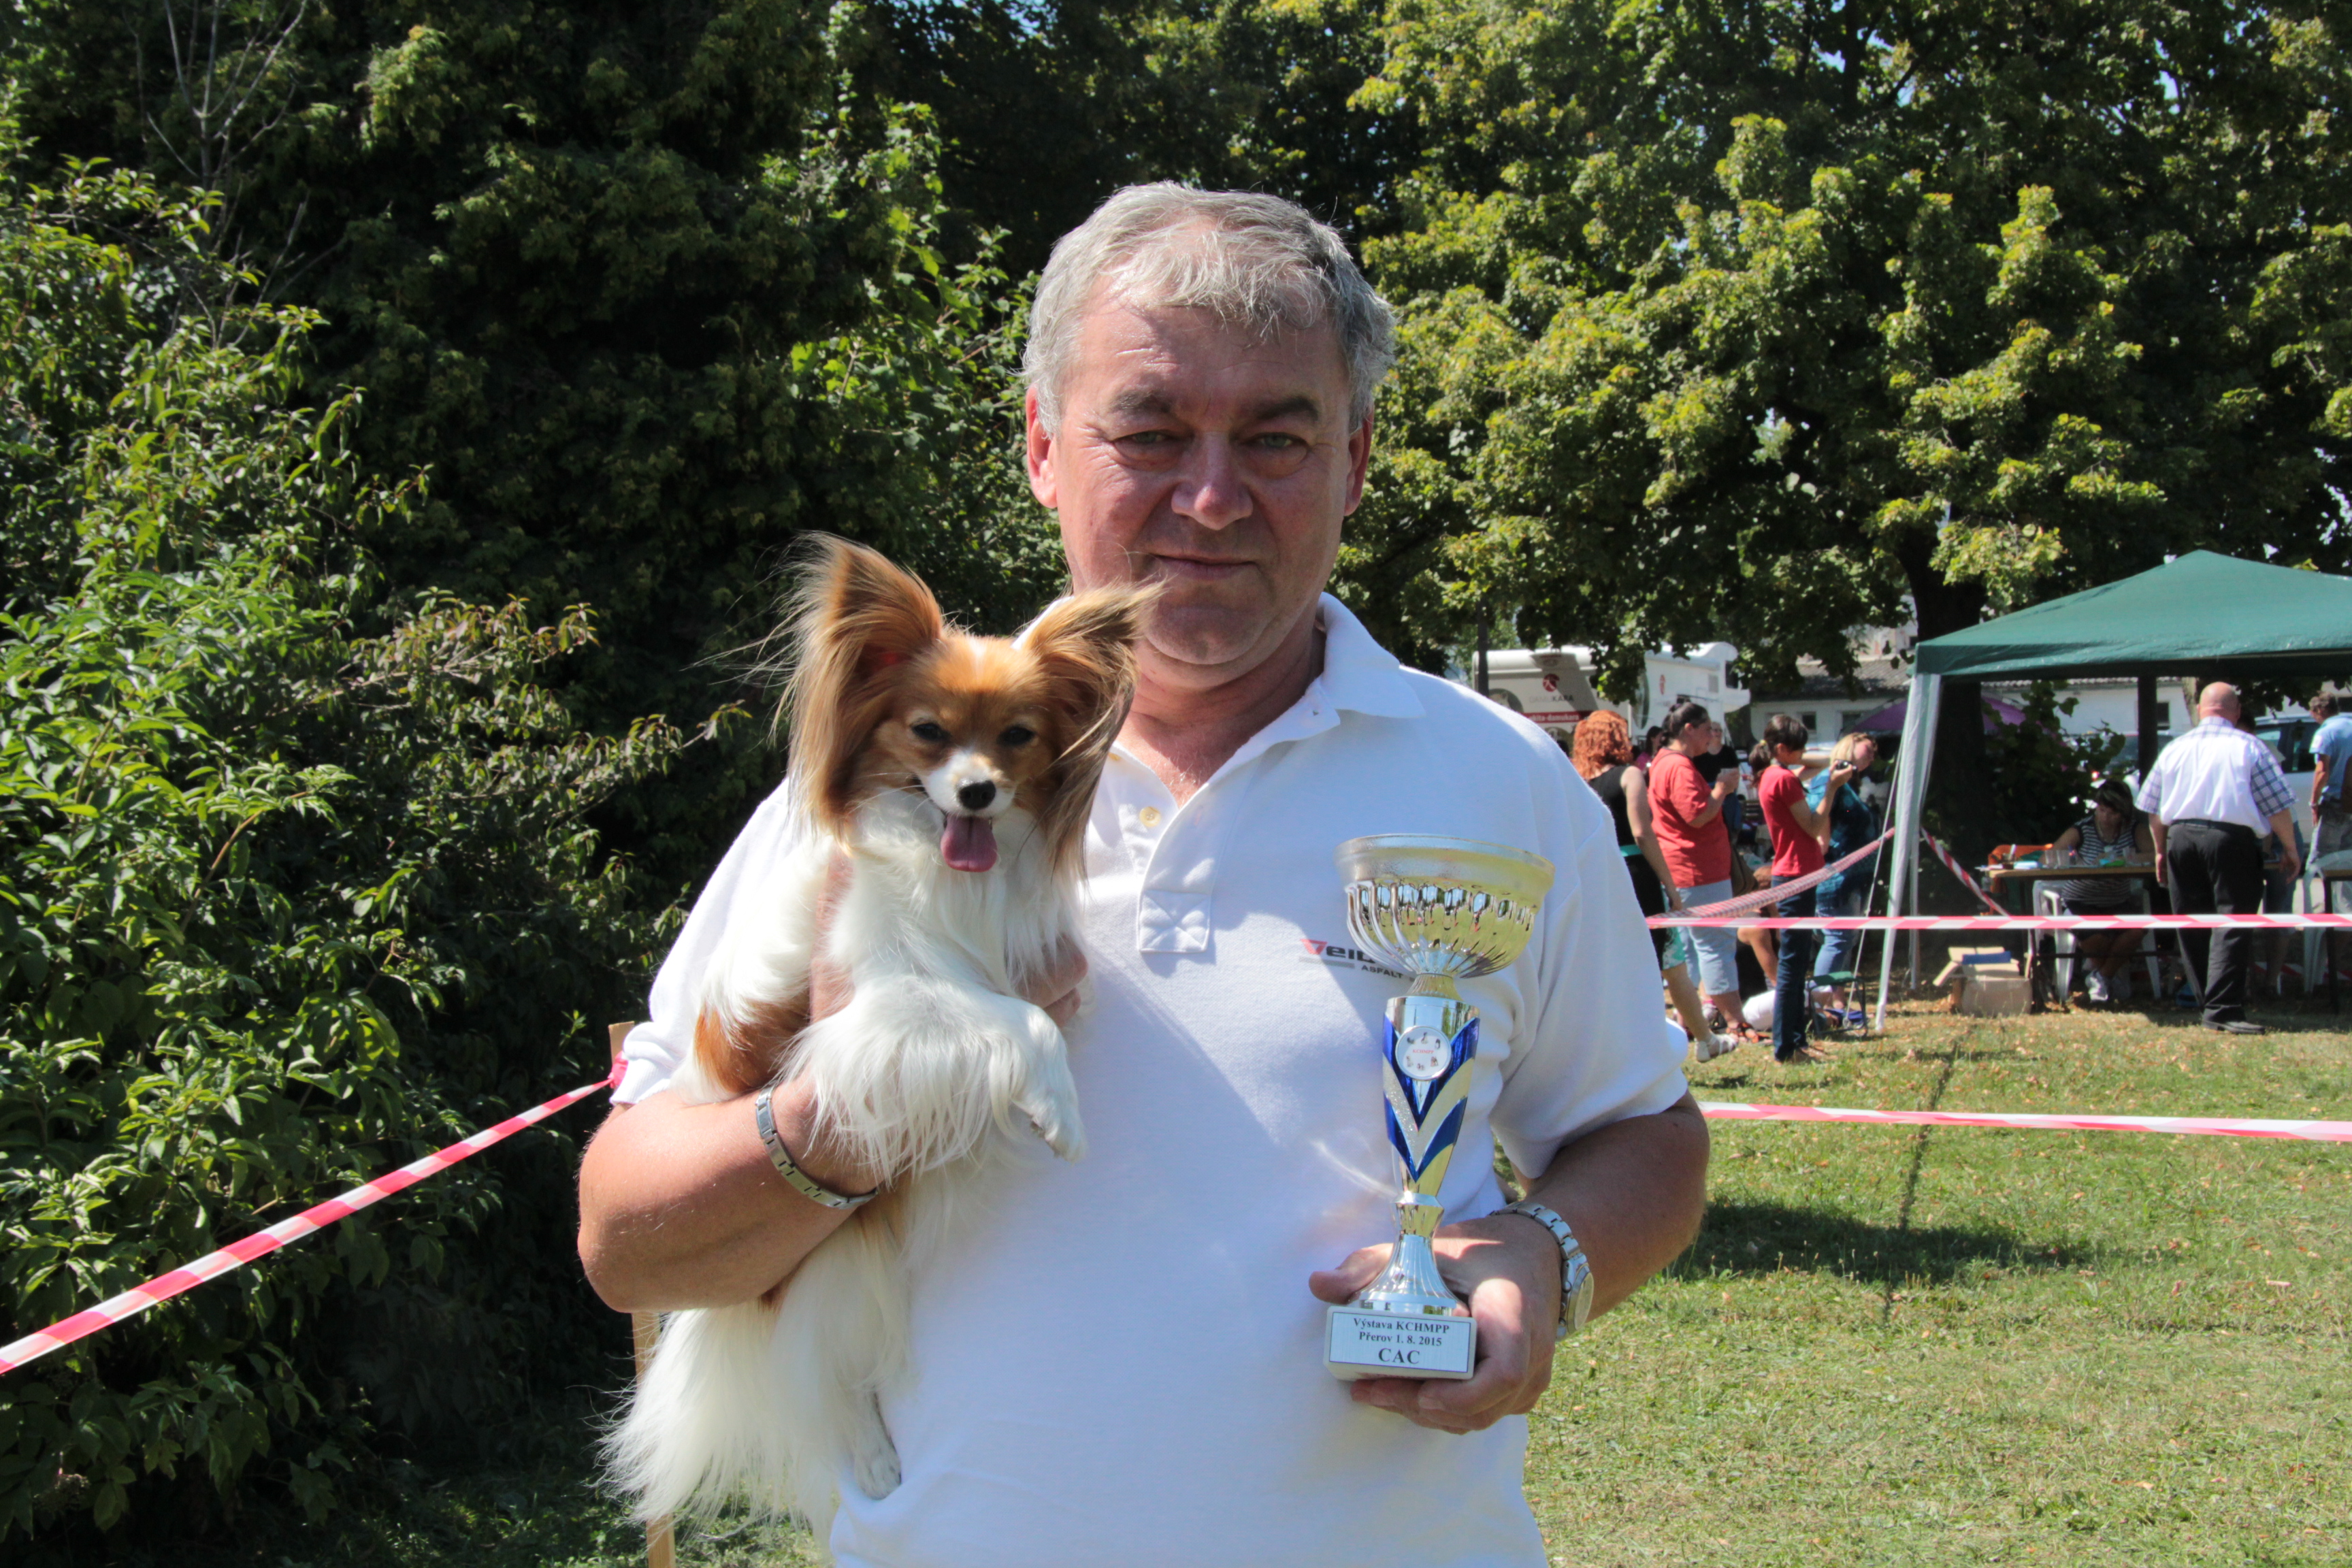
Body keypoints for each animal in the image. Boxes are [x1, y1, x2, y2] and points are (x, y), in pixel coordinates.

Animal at [604, 538, 1152, 1540]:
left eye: (1018, 737)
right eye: (928, 732)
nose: (976, 789)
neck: (945, 863)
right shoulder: (881, 1009)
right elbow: (1019, 1022)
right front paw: (1058, 1110)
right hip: (831, 1262)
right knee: (819, 1382)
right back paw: (870, 1458)